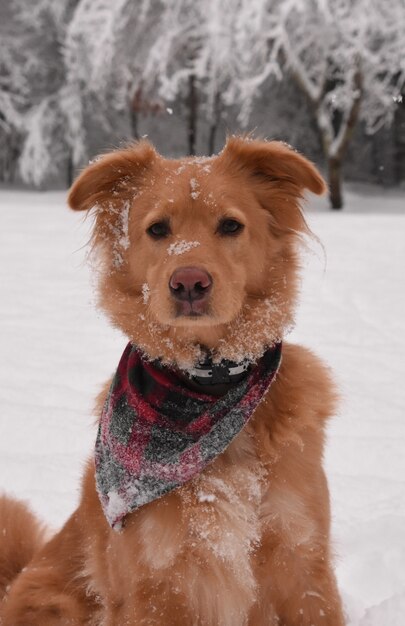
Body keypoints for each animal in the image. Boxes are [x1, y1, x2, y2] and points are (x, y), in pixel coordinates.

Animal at [0, 138, 344, 624]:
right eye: (158, 229)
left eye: (231, 225)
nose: (189, 282)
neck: (207, 387)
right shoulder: (155, 582)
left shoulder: (303, 563)